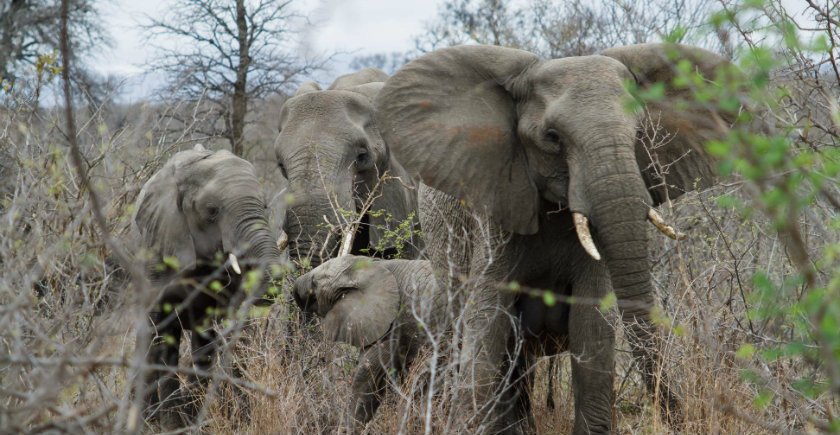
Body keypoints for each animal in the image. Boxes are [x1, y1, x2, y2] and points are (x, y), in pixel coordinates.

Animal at [133, 145, 284, 428]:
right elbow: (161, 328)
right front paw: (170, 426)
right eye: (212, 211)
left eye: (265, 205)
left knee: (202, 344)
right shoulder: (158, 247)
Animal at [374, 43, 760, 432]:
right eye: (552, 138)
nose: (680, 417)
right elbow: (486, 324)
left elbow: (593, 326)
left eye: (639, 133)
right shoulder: (493, 216)